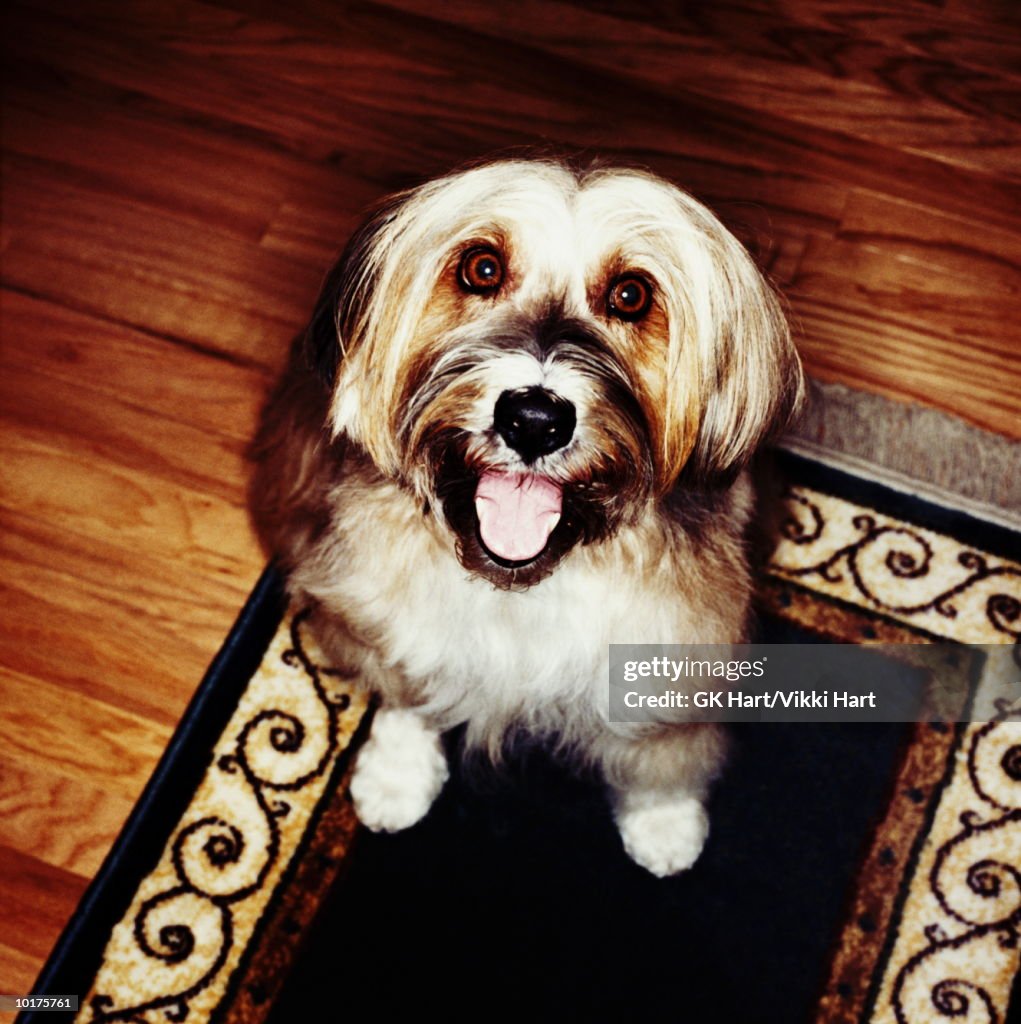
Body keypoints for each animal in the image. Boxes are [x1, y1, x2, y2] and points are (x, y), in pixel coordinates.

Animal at [248, 155, 802, 876]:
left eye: (631, 295)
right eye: (481, 267)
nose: (534, 419)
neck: (525, 585)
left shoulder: (680, 647)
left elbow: (660, 749)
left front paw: (663, 819)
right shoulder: (380, 607)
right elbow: (409, 691)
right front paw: (398, 774)